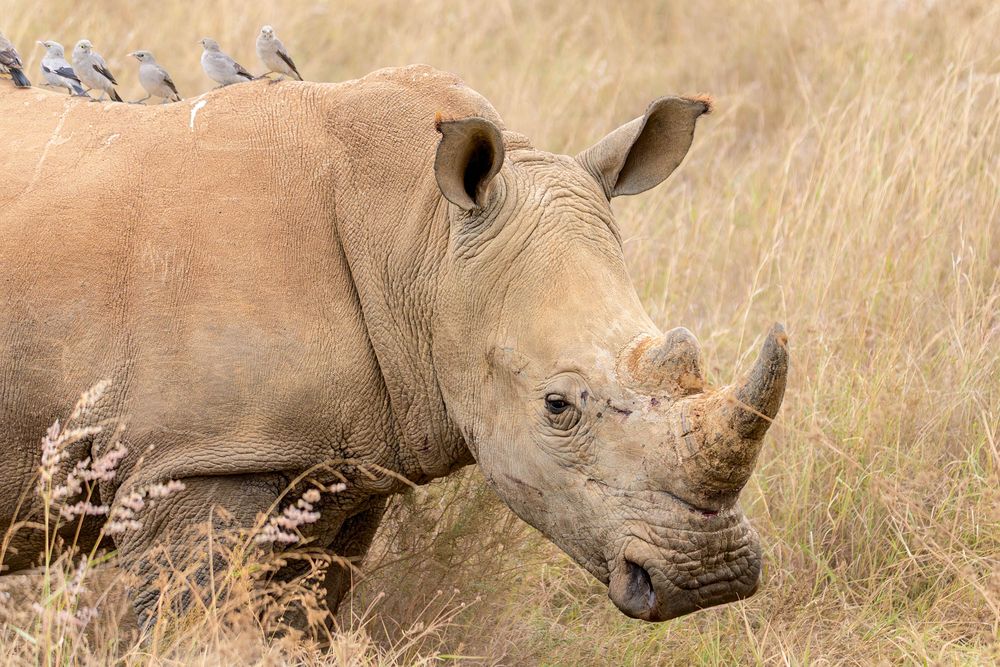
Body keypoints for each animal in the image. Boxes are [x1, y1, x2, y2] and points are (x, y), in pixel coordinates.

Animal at [0, 65, 787, 624]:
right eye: (557, 406)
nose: (710, 577)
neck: (421, 239)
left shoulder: (337, 466)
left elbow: (296, 616)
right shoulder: (193, 458)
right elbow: (191, 620)